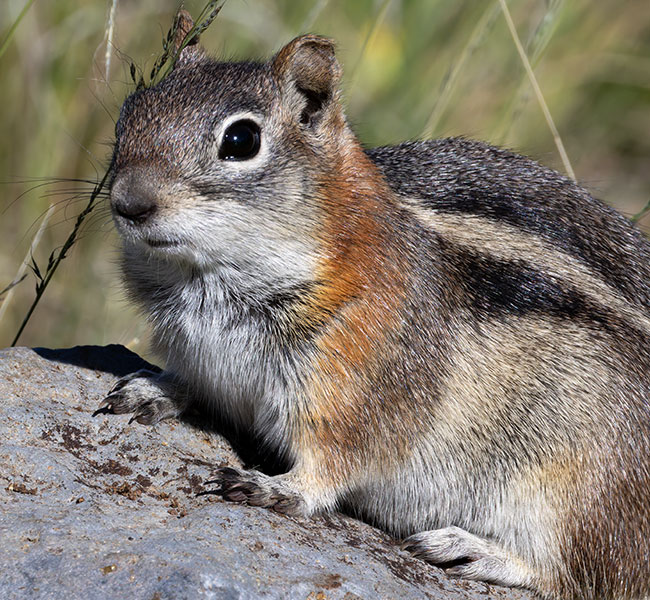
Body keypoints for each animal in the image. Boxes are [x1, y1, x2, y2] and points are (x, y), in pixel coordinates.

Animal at [95, 9, 650, 600]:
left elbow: (335, 462)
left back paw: (467, 549)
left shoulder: (356, 386)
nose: (128, 202)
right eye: (130, 112)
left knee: (575, 573)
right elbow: (190, 382)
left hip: (574, 494)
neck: (207, 282)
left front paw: (276, 488)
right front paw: (152, 388)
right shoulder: (203, 357)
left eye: (241, 140)